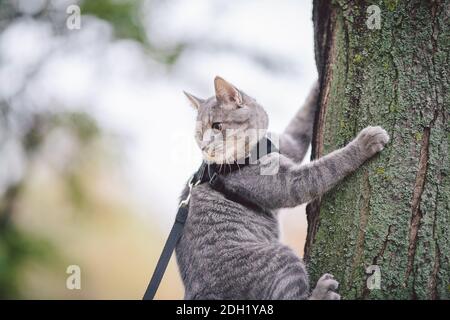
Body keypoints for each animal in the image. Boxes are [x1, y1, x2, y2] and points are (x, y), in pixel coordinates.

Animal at [177, 76, 390, 298]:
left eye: (217, 125)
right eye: (199, 134)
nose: (204, 147)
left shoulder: (288, 143)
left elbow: (301, 121)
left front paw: (318, 82)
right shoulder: (287, 183)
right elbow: (327, 166)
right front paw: (365, 143)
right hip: (282, 258)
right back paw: (323, 292)